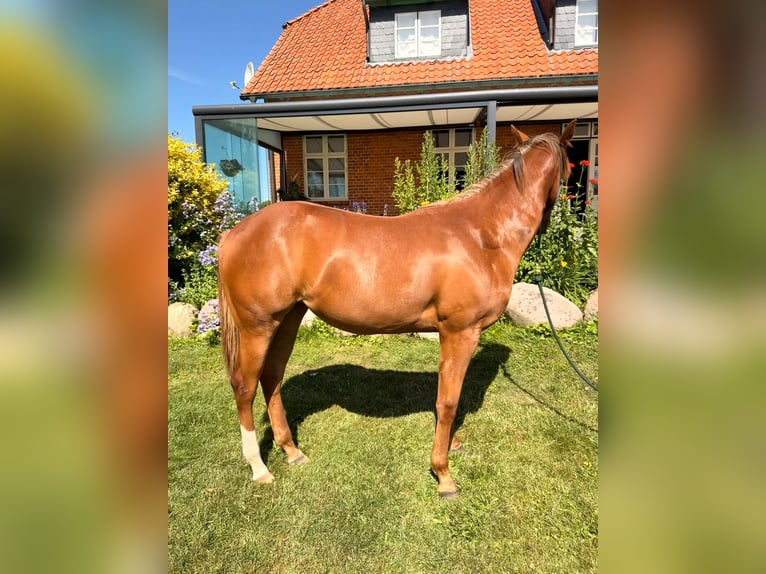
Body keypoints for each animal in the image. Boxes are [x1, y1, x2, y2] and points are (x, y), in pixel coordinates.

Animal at [217, 120, 575, 498]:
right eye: (569, 167)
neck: (481, 235)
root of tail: (234, 234)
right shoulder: (460, 332)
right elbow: (448, 402)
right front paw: (443, 474)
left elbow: (448, 398)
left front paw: (452, 444)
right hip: (257, 327)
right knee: (245, 386)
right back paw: (258, 467)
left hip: (287, 320)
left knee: (271, 379)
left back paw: (291, 450)